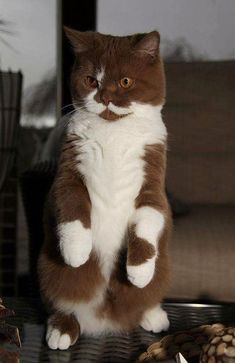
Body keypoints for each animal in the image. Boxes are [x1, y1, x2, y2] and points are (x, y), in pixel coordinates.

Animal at [37, 29, 172, 352]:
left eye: (125, 81)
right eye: (90, 80)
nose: (105, 97)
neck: (114, 132)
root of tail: (107, 317)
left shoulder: (153, 179)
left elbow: (149, 218)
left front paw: (139, 272)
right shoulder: (69, 170)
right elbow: (70, 204)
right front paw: (76, 251)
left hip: (164, 269)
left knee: (148, 295)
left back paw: (153, 314)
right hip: (48, 270)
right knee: (61, 300)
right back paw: (61, 329)